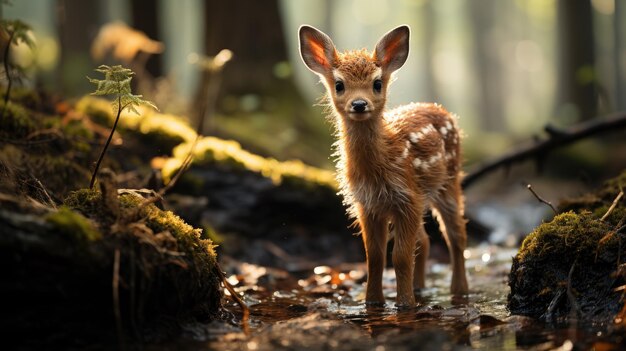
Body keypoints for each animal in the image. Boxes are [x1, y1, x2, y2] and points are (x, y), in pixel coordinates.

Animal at [298, 25, 468, 306]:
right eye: (339, 84)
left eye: (377, 83)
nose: (359, 104)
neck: (379, 167)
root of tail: (444, 112)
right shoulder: (367, 205)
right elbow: (375, 257)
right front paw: (373, 302)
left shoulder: (407, 197)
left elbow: (399, 256)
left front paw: (405, 304)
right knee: (425, 240)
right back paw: (421, 288)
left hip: (449, 182)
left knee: (456, 237)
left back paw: (459, 291)